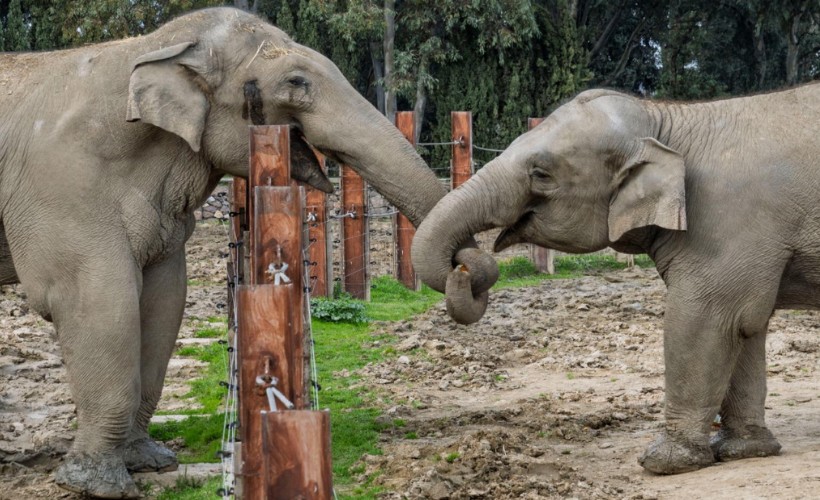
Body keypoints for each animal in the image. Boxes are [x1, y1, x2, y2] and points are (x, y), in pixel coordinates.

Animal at [0, 7, 496, 500]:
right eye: (296, 81)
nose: (468, 270)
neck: (153, 47)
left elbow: (163, 301)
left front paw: (152, 462)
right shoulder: (63, 188)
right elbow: (96, 300)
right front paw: (100, 485)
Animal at [414, 86, 820, 476]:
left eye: (541, 173)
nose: (463, 269)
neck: (666, 119)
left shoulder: (726, 222)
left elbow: (710, 319)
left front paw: (664, 463)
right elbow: (747, 326)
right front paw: (745, 451)